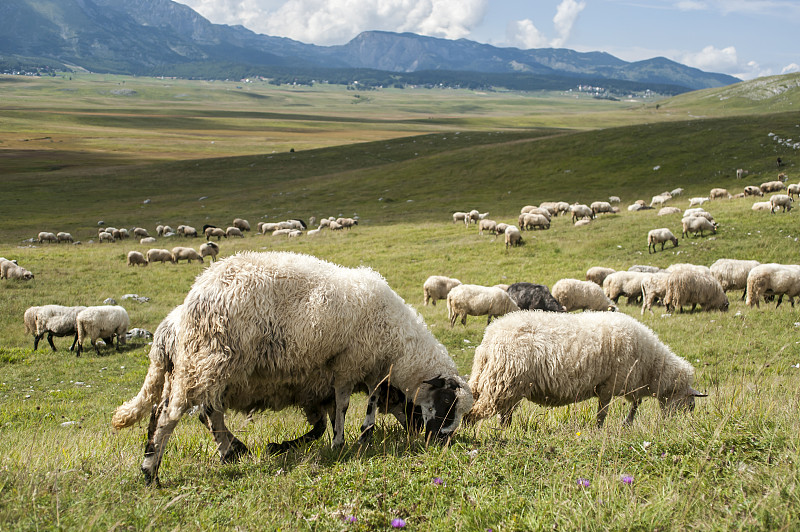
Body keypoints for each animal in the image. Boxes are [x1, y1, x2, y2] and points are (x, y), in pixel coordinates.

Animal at [115, 254, 472, 486]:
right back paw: (151, 472)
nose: (440, 442)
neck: (398, 343)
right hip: (207, 363)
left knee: (199, 412)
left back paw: (228, 452)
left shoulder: (355, 375)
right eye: (447, 403)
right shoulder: (349, 364)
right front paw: (345, 443)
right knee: (170, 415)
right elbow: (345, 407)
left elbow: (341, 413)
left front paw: (351, 437)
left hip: (205, 368)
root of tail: (189, 301)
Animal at [468, 312, 708, 428]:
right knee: (476, 413)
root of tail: (489, 338)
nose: (675, 425)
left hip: (501, 384)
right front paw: (602, 428)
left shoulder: (627, 384)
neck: (652, 367)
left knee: (503, 414)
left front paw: (627, 423)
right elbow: (604, 413)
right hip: (504, 382)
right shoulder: (610, 384)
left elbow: (636, 404)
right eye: (690, 404)